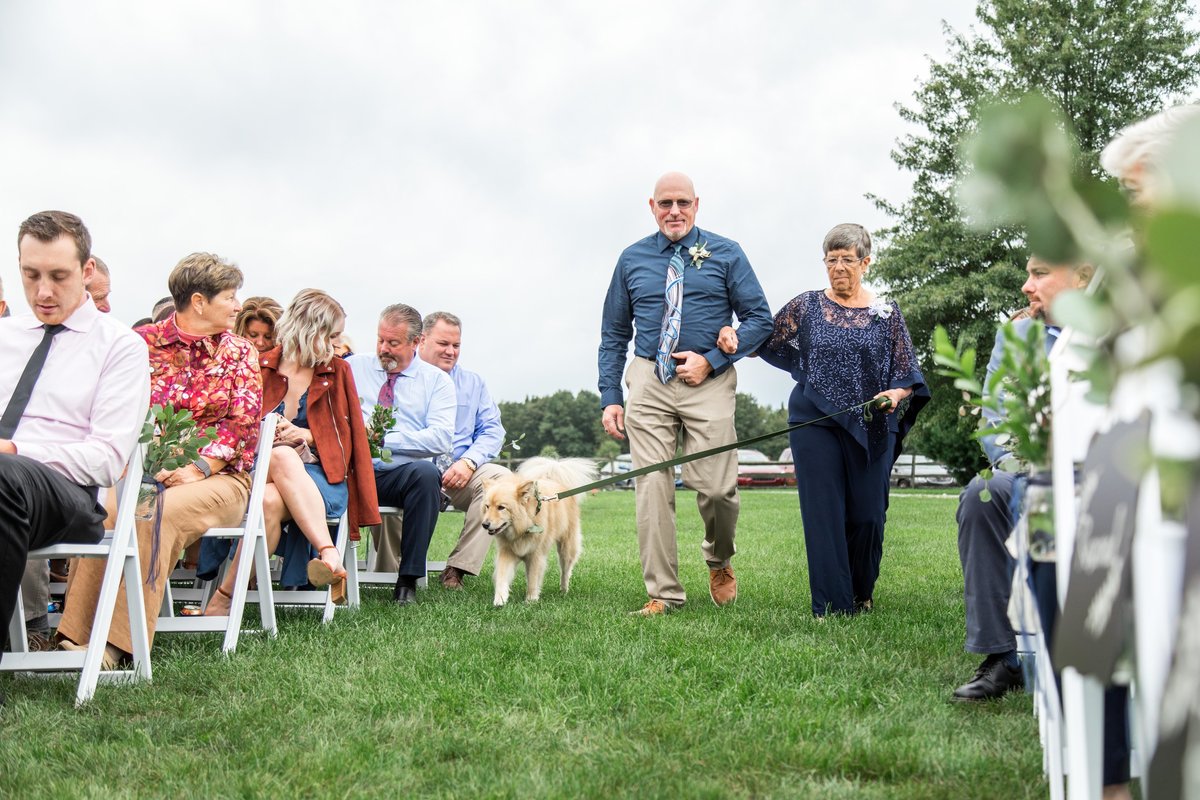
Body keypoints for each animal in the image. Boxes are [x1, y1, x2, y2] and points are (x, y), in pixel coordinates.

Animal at [482, 455, 600, 606]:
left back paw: (564, 590)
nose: (485, 524)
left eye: (501, 507)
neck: (522, 528)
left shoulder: (536, 555)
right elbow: (502, 576)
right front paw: (500, 600)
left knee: (565, 571)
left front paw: (531, 600)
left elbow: (533, 580)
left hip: (566, 548)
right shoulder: (507, 552)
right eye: (487, 506)